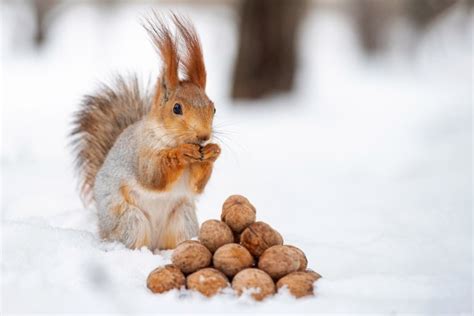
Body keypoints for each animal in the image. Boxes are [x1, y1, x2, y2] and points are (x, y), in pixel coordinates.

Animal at [70, 14, 220, 251]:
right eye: (176, 108)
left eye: (213, 108)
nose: (204, 136)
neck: (170, 138)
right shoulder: (140, 152)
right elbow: (152, 175)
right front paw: (180, 153)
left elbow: (196, 186)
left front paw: (213, 152)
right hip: (130, 221)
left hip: (183, 219)